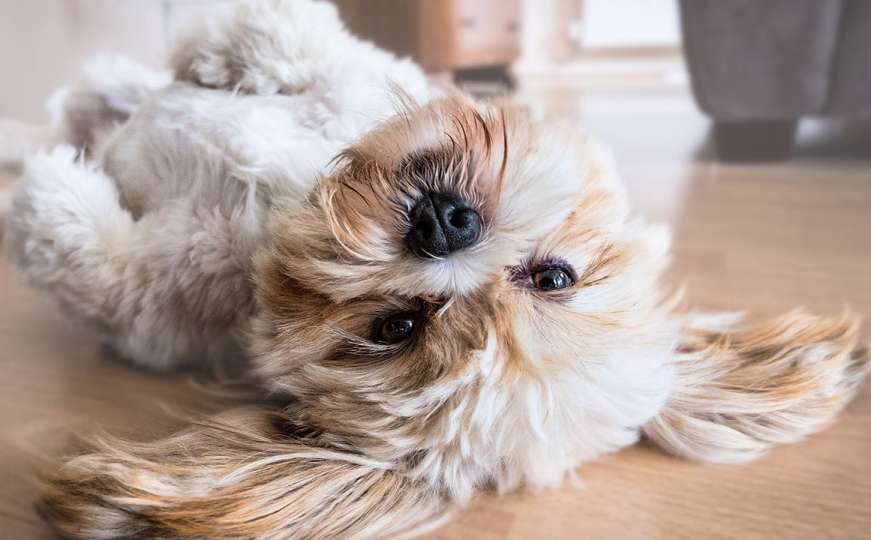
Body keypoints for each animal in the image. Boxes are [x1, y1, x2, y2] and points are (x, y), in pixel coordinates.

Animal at [3, 1, 868, 540]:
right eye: (554, 277)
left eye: (396, 326)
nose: (444, 223)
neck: (283, 206)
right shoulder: (352, 79)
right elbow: (299, 47)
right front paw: (223, 52)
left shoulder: (157, 306)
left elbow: (97, 263)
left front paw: (48, 195)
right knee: (93, 93)